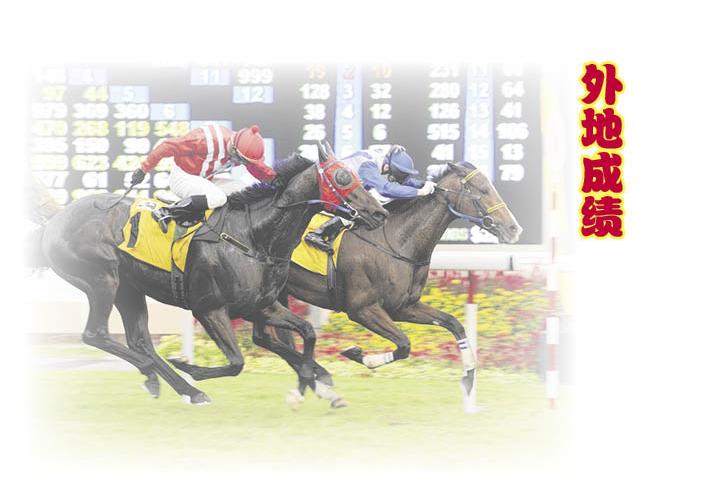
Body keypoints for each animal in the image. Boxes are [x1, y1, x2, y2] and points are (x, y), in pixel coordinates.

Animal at [29, 143, 388, 406]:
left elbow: (308, 333)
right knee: (96, 334)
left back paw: (178, 386)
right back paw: (161, 376)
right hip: (101, 280)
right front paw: (190, 366)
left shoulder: (260, 305)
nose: (378, 212)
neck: (254, 236)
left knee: (141, 341)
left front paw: (309, 384)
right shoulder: (209, 308)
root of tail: (54, 222)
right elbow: (237, 362)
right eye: (343, 177)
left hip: (129, 289)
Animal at [280, 161, 523, 395]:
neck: (396, 242)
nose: (514, 229)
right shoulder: (362, 309)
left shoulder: (403, 307)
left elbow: (453, 323)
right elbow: (405, 344)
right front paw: (356, 353)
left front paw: (469, 376)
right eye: (483, 190)